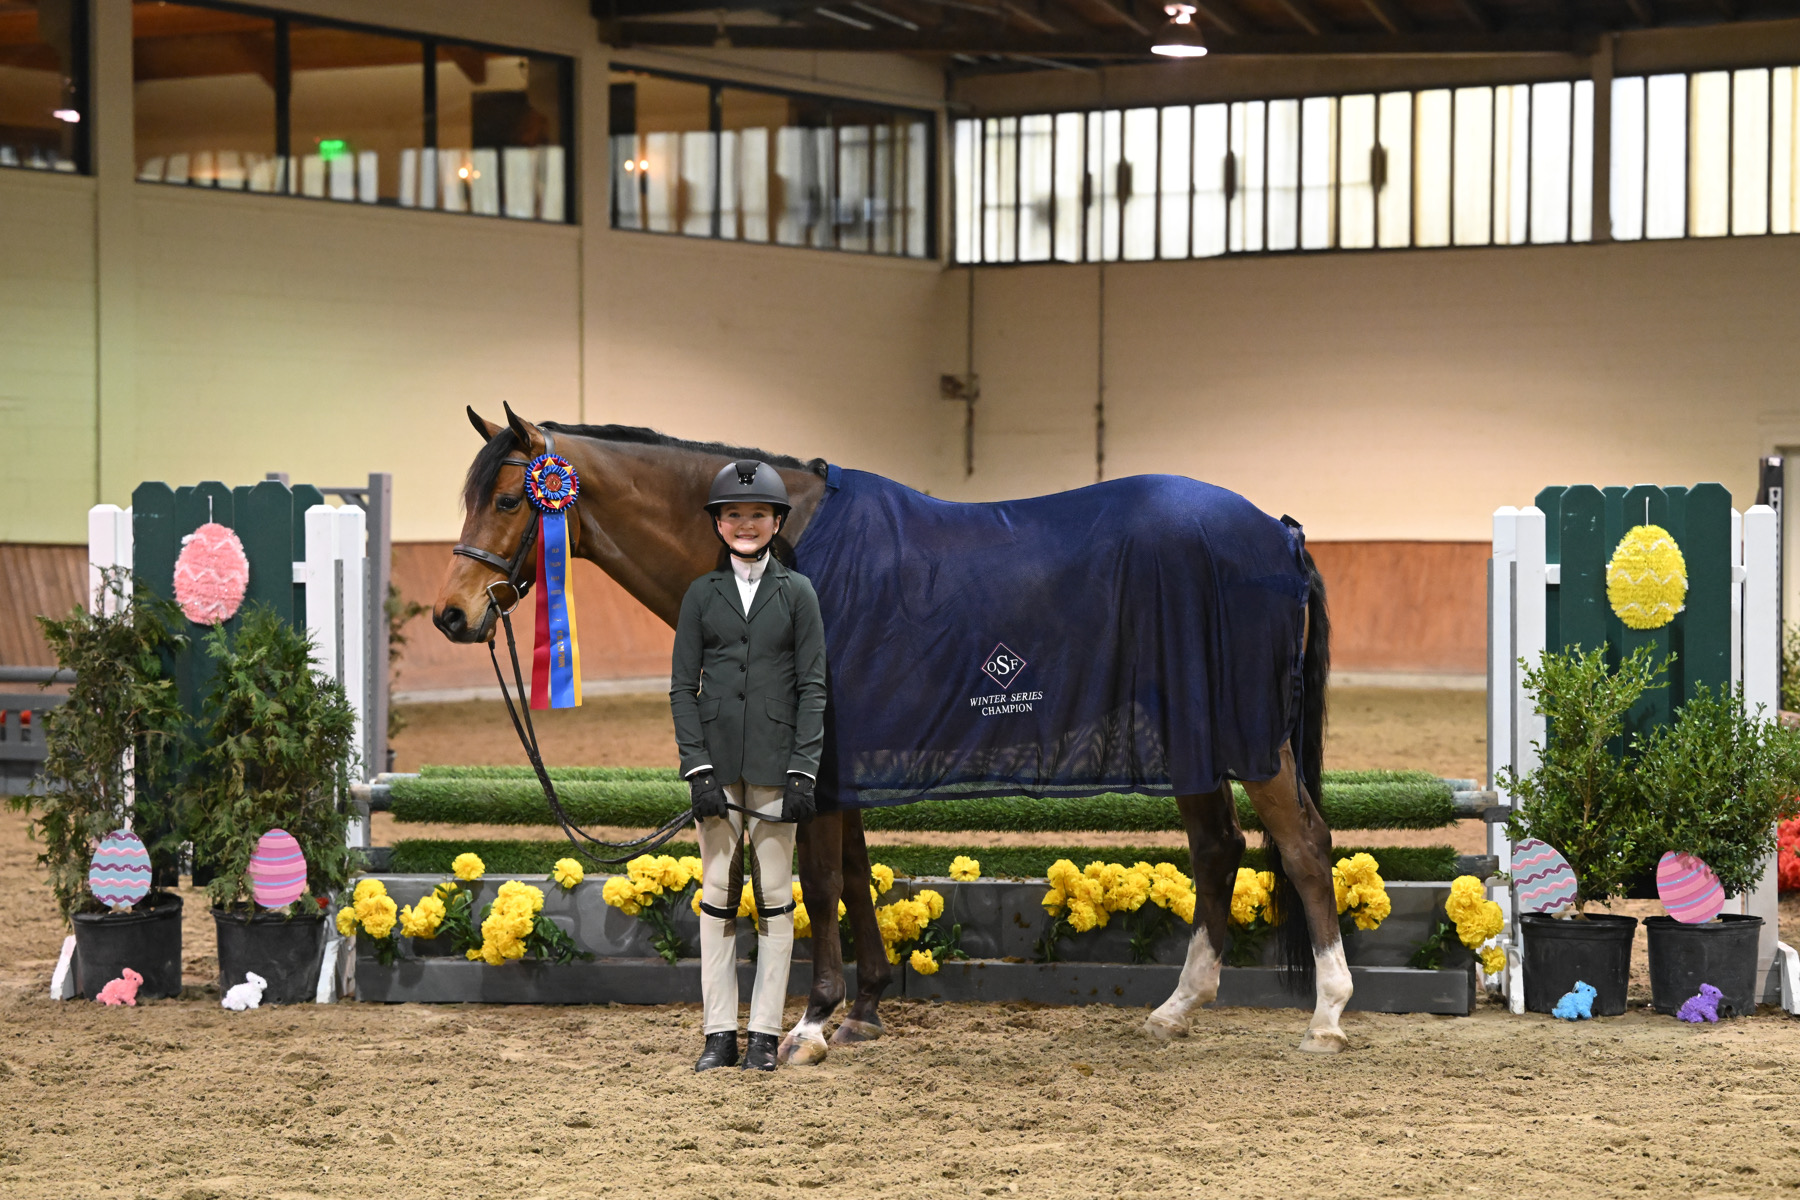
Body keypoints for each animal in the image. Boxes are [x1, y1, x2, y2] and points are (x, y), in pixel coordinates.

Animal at [433, 404, 1352, 1058]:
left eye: (511, 498)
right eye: (469, 497)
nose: (451, 615)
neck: (784, 541)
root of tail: (1275, 531)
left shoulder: (819, 754)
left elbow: (819, 880)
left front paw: (811, 1023)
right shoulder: (839, 760)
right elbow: (852, 870)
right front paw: (866, 1007)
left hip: (1249, 736)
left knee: (1303, 843)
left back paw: (1327, 1016)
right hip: (1194, 736)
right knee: (1220, 848)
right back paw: (1178, 1008)